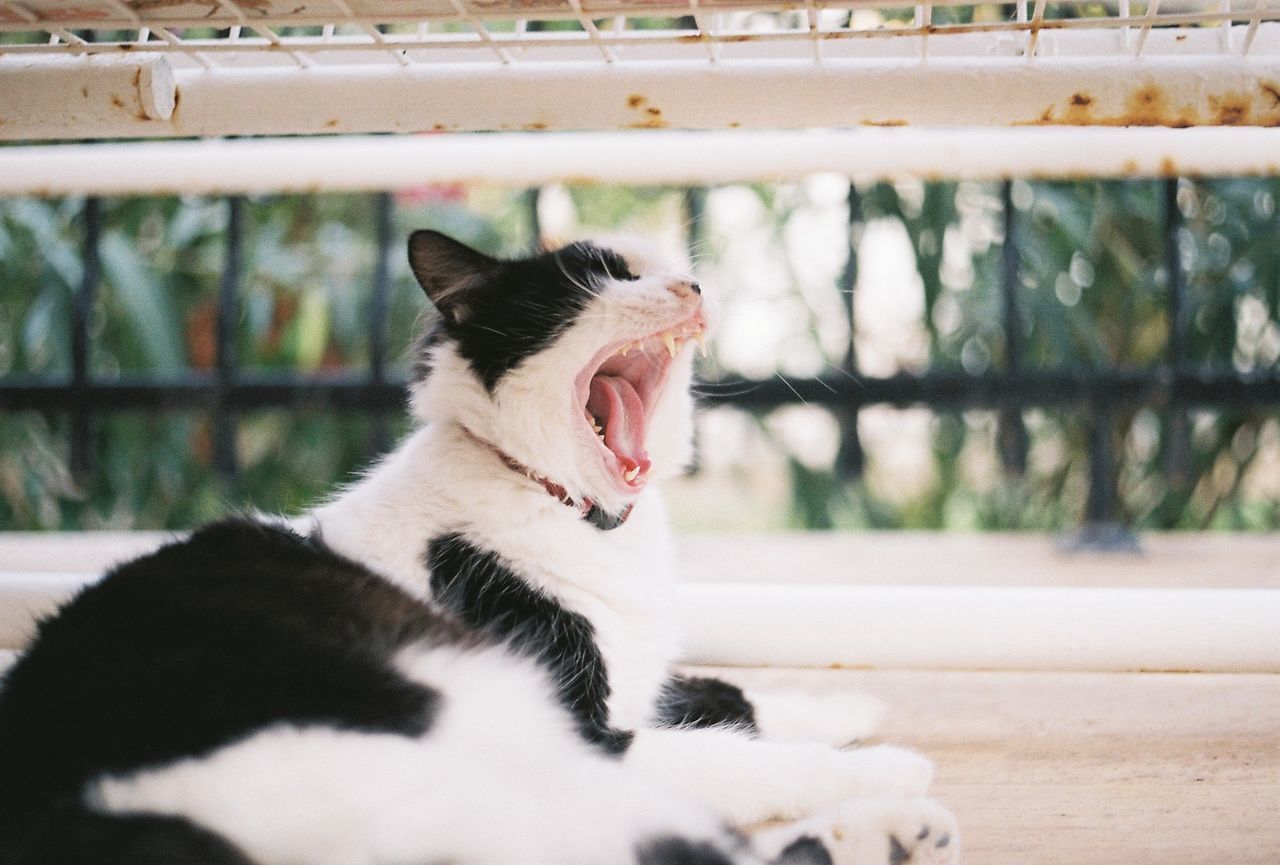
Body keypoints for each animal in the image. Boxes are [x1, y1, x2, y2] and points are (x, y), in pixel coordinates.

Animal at [0, 230, 957, 865]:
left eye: (667, 266)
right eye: (600, 276)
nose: (690, 285)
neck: (569, 509)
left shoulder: (634, 685)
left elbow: (730, 694)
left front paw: (847, 708)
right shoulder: (589, 726)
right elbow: (739, 751)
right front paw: (884, 761)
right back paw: (896, 815)